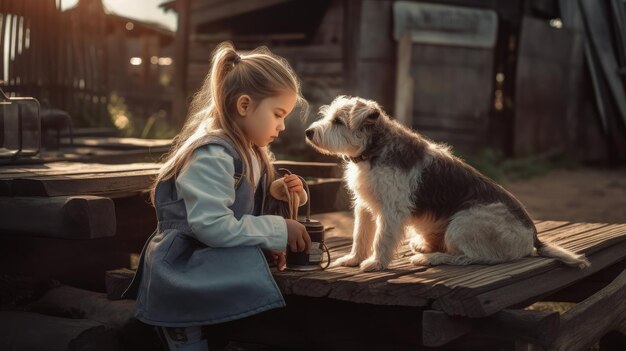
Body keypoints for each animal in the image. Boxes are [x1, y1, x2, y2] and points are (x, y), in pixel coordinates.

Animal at [304, 96, 588, 272]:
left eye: (338, 121)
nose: (308, 133)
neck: (374, 150)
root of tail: (532, 236)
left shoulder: (391, 210)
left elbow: (381, 239)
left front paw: (376, 263)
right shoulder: (364, 206)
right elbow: (360, 235)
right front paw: (353, 260)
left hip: (462, 223)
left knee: (470, 258)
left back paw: (430, 258)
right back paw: (424, 246)